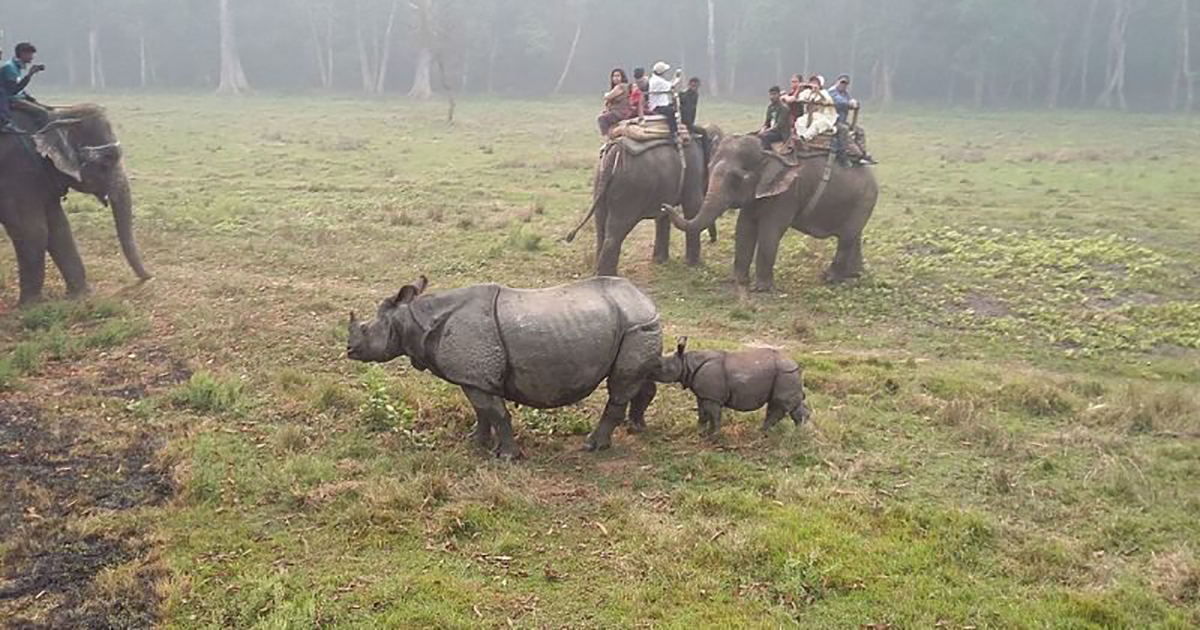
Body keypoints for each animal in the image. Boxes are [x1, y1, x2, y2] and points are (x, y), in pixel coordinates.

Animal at [0, 103, 151, 304]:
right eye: (105, 163)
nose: (150, 276)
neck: (51, 114)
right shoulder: (16, 172)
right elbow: (32, 231)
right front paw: (29, 306)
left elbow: (59, 229)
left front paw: (79, 296)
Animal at [345, 274, 667, 456]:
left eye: (366, 329)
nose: (349, 350)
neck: (414, 319)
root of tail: (646, 299)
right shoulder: (474, 377)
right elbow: (481, 412)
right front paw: (475, 442)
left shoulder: (477, 375)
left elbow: (497, 414)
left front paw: (507, 457)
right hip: (638, 325)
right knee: (640, 378)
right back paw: (636, 426)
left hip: (635, 324)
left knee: (619, 386)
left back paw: (592, 446)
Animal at [564, 124, 720, 276]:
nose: (713, 240)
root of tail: (614, 151)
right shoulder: (693, 172)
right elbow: (692, 206)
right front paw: (694, 265)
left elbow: (664, 215)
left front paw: (660, 261)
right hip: (629, 190)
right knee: (616, 230)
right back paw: (608, 276)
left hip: (600, 184)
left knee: (600, 226)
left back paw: (599, 273)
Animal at [657, 336, 816, 434]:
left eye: (663, 368)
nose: (652, 371)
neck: (686, 363)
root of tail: (797, 366)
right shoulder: (704, 395)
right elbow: (702, 414)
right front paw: (700, 432)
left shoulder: (712, 397)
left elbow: (714, 415)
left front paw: (713, 436)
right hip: (787, 375)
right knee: (788, 406)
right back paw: (798, 433)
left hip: (785, 375)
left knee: (779, 405)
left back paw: (764, 432)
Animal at [662, 135, 878, 290]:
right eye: (709, 168)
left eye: (736, 178)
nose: (665, 206)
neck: (769, 154)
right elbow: (744, 228)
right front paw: (738, 281)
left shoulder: (788, 194)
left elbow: (770, 231)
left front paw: (761, 289)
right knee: (854, 237)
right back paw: (855, 275)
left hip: (865, 201)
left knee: (847, 238)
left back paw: (830, 279)